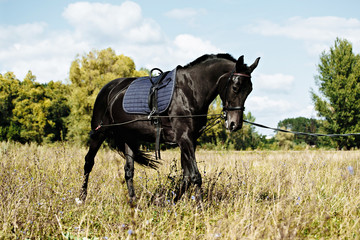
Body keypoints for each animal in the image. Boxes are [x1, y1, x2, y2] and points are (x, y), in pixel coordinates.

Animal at [79, 54, 258, 202]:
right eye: (235, 87)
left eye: (250, 90)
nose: (235, 124)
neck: (189, 90)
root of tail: (108, 88)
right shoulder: (184, 138)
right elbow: (195, 175)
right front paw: (200, 208)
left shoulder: (190, 140)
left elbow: (186, 176)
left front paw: (166, 201)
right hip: (99, 132)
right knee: (88, 162)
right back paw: (82, 197)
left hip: (130, 138)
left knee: (129, 171)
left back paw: (134, 202)